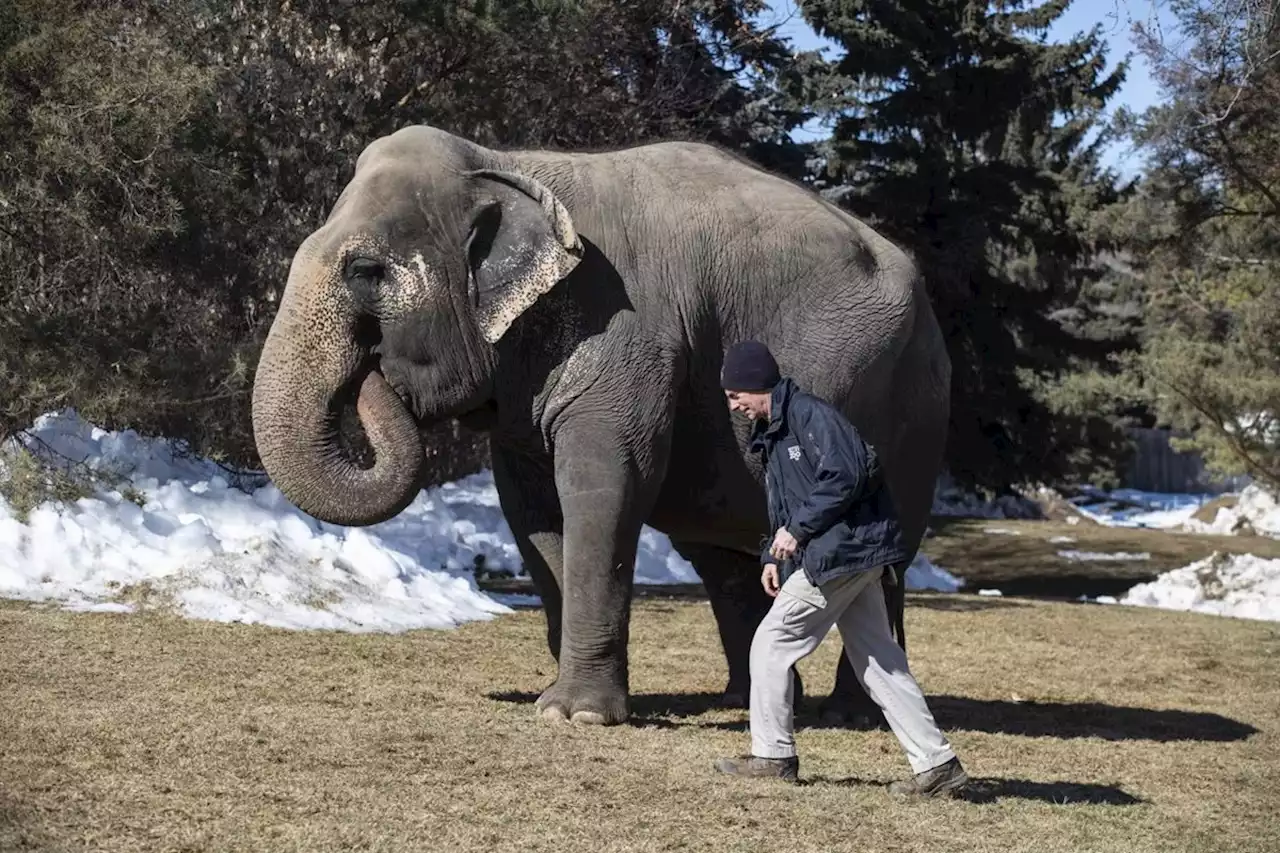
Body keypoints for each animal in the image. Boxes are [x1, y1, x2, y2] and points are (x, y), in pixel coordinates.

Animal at [249, 124, 952, 722]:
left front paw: (575, 715)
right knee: (719, 560)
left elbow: (604, 483)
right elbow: (532, 510)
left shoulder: (627, 333)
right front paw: (555, 699)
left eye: (365, 271)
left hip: (912, 408)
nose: (376, 374)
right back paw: (743, 699)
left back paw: (849, 713)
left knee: (884, 559)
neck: (504, 164)